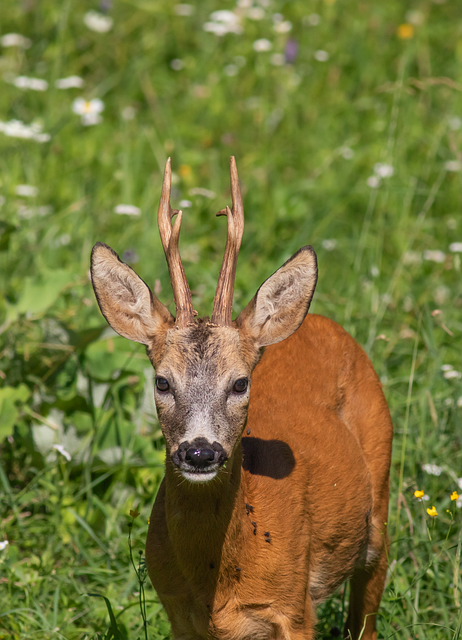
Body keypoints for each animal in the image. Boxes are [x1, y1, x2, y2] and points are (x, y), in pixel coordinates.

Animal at [91, 158, 394, 640]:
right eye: (162, 382)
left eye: (240, 383)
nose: (200, 451)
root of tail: (323, 322)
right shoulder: (177, 611)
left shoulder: (294, 609)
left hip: (379, 489)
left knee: (369, 597)